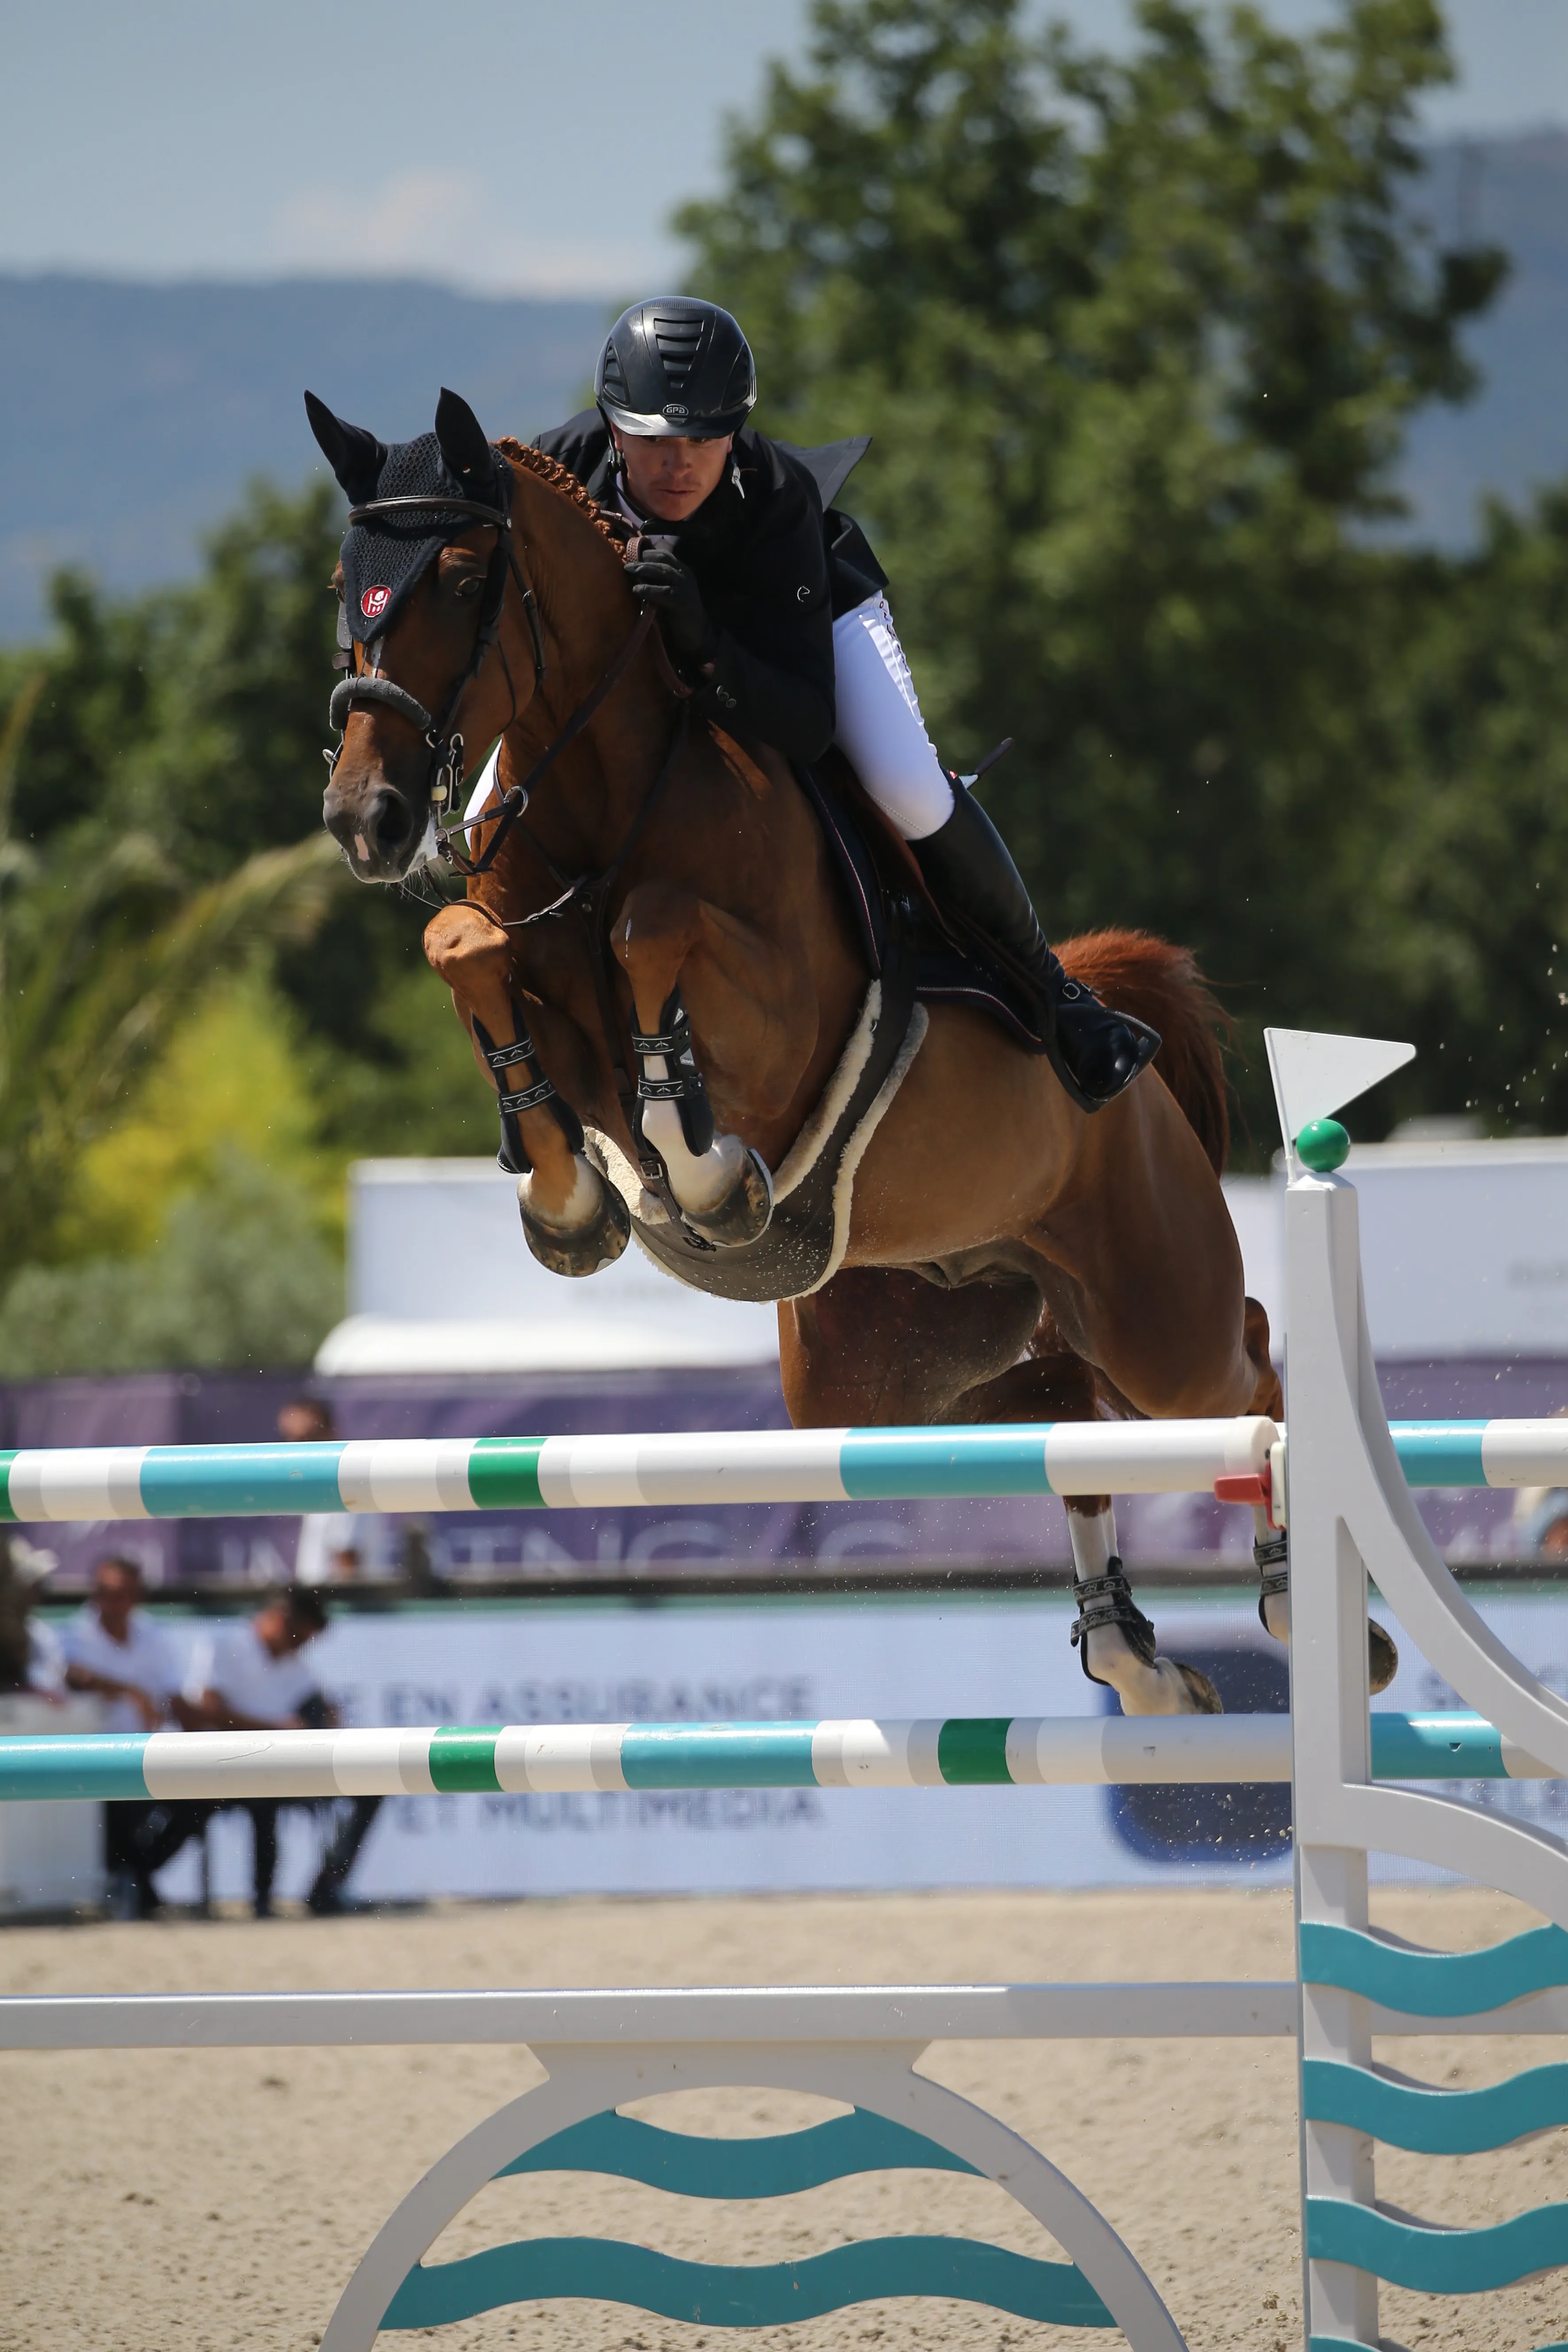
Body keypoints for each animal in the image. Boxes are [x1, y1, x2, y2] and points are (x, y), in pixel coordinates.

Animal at [311, 387, 1349, 1717]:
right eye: (346, 581)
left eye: (455, 575)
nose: (364, 820)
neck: (607, 793)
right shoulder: (520, 952)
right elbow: (464, 945)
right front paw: (566, 1196)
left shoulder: (777, 1022)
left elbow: (654, 930)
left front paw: (700, 1172)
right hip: (886, 1373)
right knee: (1062, 1412)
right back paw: (1134, 1653)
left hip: (1155, 1310)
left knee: (1249, 1365)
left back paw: (1299, 1605)